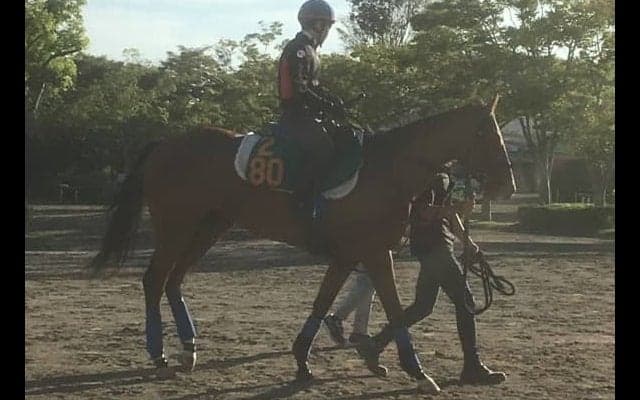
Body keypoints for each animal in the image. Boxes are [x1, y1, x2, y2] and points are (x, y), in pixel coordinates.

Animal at [90, 94, 515, 393]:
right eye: (485, 133)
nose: (507, 184)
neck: (387, 168)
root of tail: (167, 143)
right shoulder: (376, 253)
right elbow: (395, 310)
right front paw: (418, 372)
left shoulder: (349, 254)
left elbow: (323, 302)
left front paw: (303, 360)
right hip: (177, 226)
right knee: (155, 279)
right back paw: (159, 354)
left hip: (209, 227)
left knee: (174, 280)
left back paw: (189, 348)